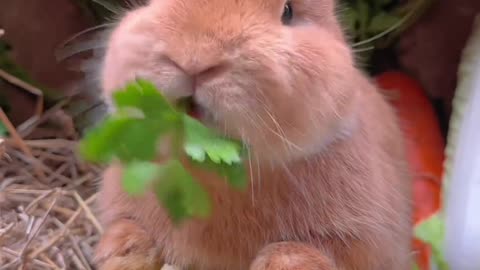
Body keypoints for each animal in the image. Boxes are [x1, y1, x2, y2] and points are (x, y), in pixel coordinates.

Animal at [93, 0, 412, 270]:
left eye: (288, 12)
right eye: (153, 2)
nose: (194, 58)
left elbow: (306, 255)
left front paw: (276, 262)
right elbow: (129, 229)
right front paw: (122, 253)